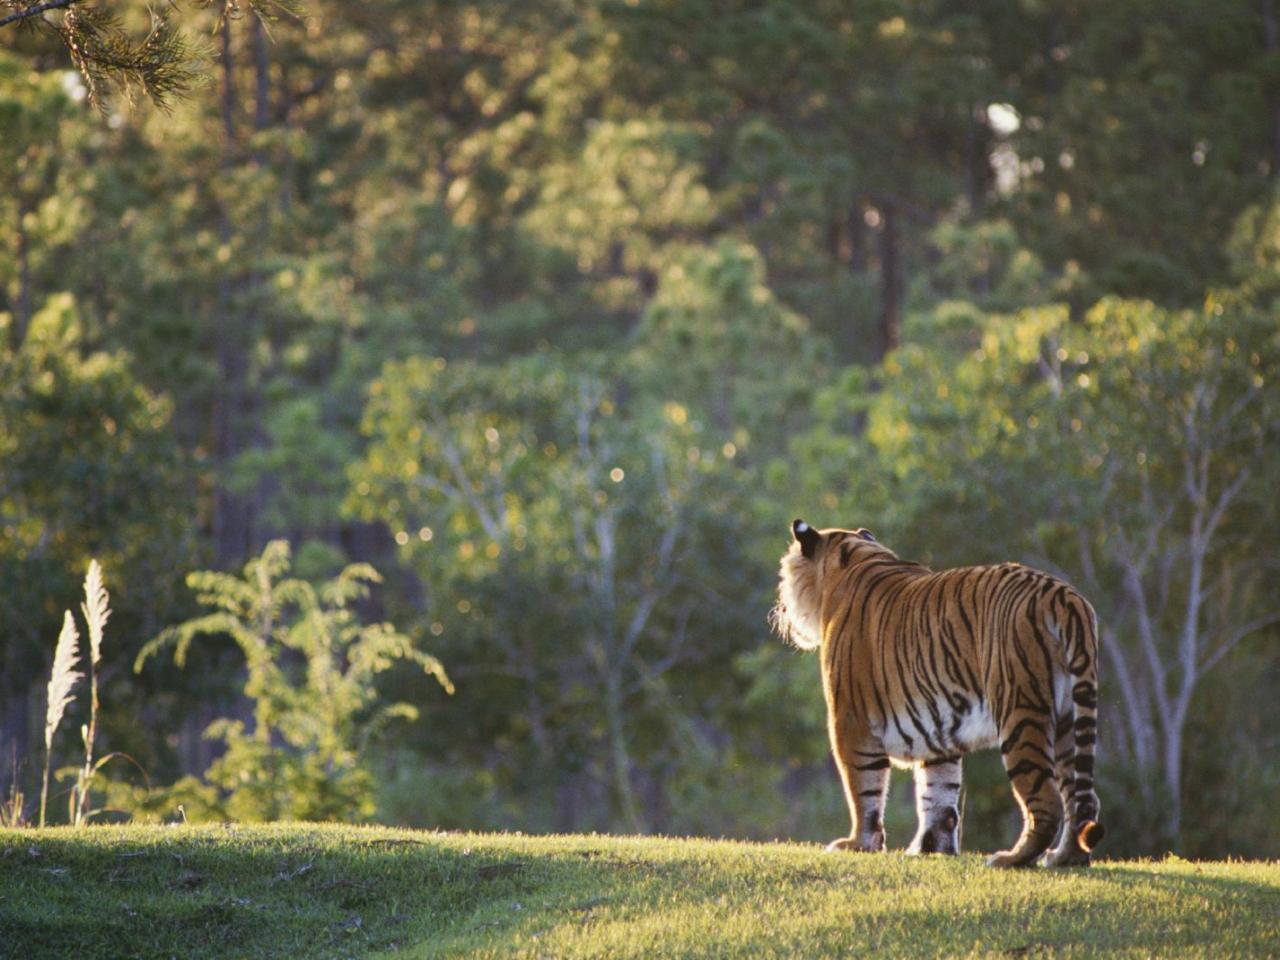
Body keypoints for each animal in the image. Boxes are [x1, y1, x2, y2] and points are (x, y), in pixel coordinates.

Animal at [773, 522, 1105, 870]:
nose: (780, 608)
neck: (854, 559)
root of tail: (1065, 596)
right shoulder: (937, 721)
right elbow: (939, 793)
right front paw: (933, 848)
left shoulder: (850, 721)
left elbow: (864, 789)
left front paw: (858, 844)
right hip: (1068, 721)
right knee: (1082, 799)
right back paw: (1065, 858)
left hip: (1020, 712)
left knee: (1047, 799)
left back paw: (1011, 858)